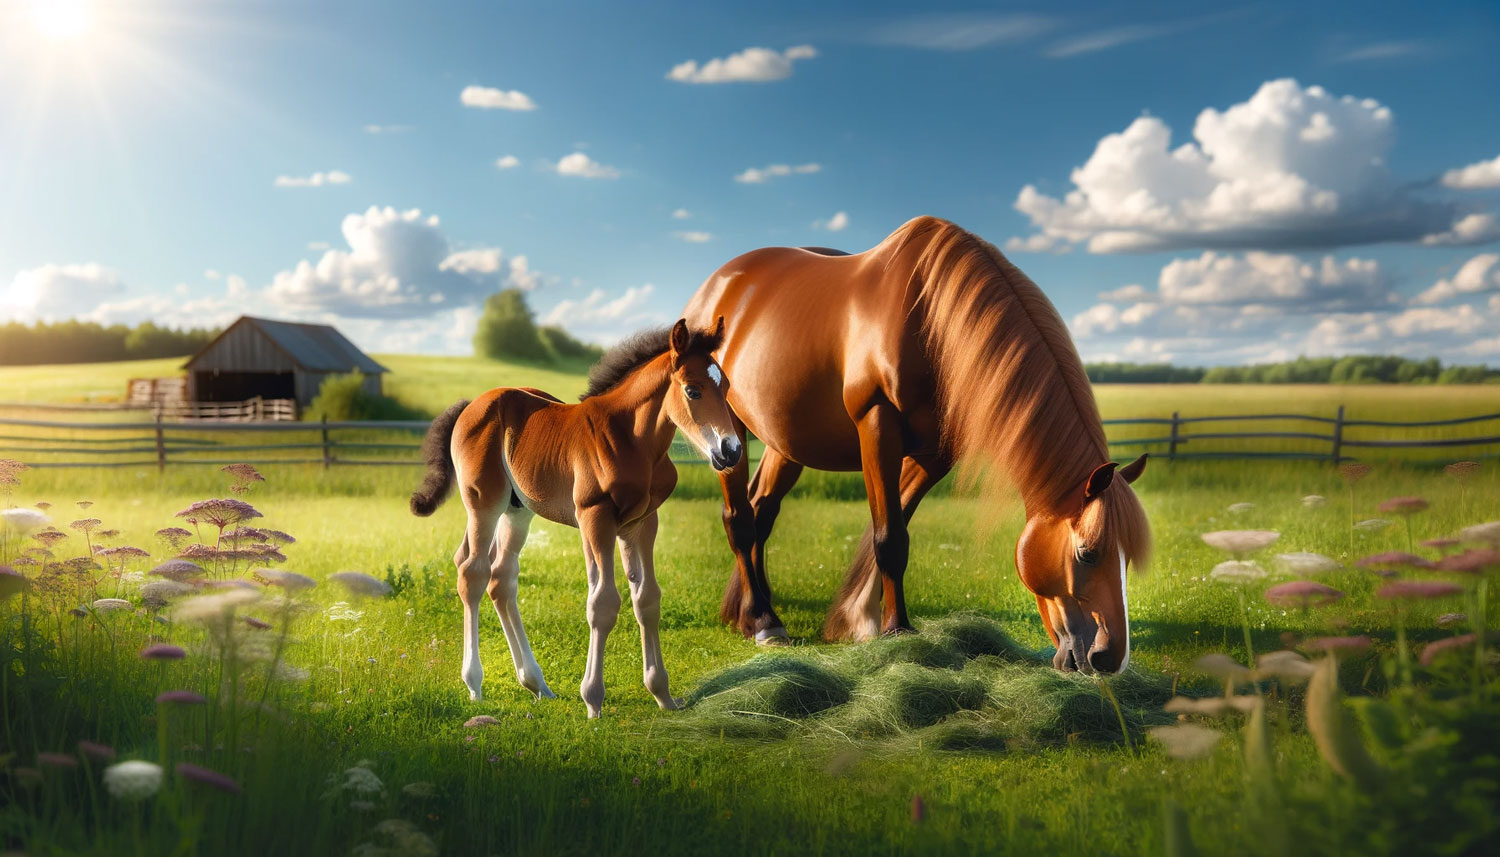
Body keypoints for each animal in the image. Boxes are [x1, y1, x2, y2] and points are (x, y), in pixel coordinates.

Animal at [687, 216, 1152, 678]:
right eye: (1087, 553)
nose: (1110, 659)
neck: (929, 317)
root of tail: (714, 288)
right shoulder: (877, 425)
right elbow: (890, 537)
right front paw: (896, 630)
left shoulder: (933, 453)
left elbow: (893, 530)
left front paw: (859, 619)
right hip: (729, 434)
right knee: (740, 519)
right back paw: (763, 620)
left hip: (785, 442)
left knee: (762, 511)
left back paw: (748, 611)